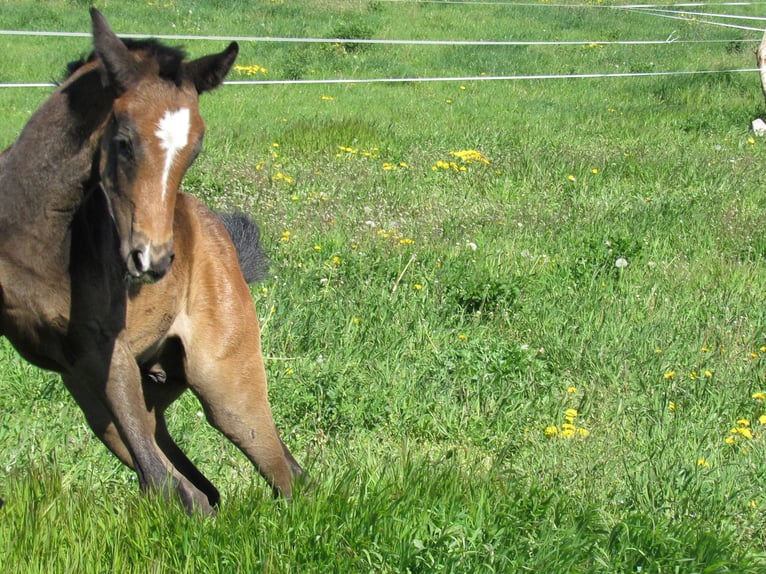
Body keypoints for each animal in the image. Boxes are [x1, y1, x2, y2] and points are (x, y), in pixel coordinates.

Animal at [0, 9, 305, 514]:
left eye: (194, 149)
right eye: (123, 141)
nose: (153, 259)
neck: (31, 231)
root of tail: (217, 233)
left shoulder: (107, 350)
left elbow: (165, 483)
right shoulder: (90, 365)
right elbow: (166, 480)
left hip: (224, 387)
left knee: (277, 475)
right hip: (119, 395)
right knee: (201, 482)